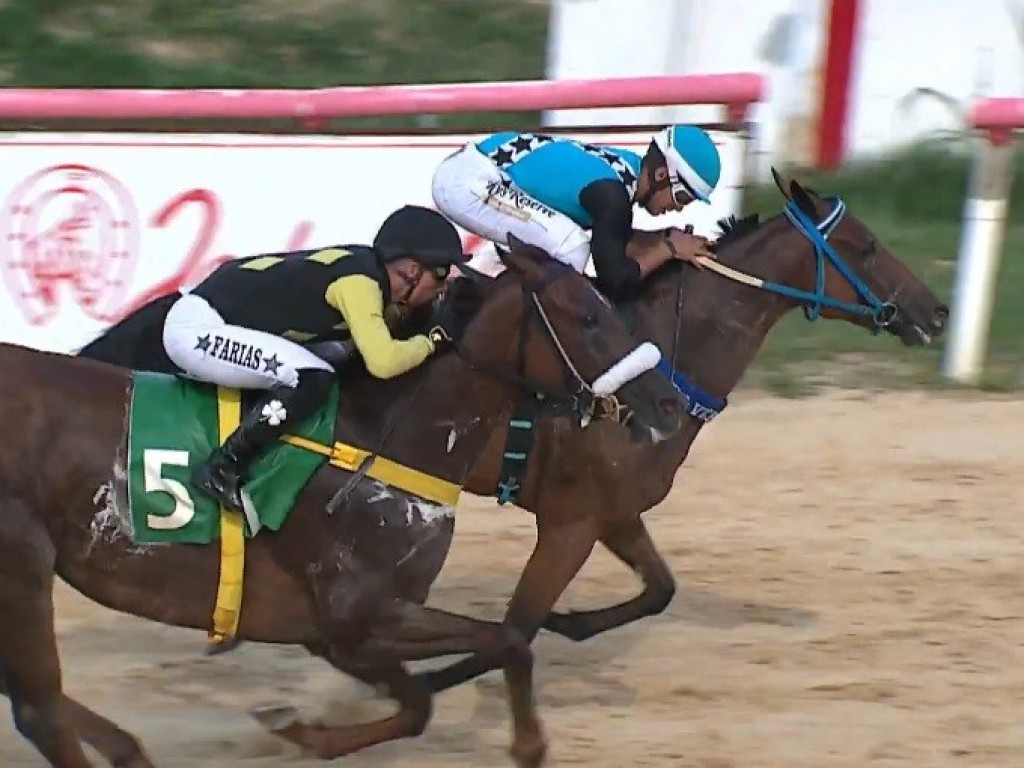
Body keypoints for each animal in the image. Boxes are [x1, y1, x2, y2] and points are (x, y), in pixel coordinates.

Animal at [2, 237, 688, 765]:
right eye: (590, 318)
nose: (669, 404)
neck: (389, 439)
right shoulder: (357, 615)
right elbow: (508, 642)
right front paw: (528, 746)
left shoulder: (333, 632)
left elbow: (423, 701)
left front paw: (300, 731)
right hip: (22, 563)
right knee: (38, 709)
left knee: (32, 699)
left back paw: (128, 749)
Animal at [409, 173, 950, 696]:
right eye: (868, 247)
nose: (938, 312)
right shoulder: (570, 522)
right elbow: (514, 632)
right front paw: (420, 686)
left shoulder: (614, 514)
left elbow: (660, 590)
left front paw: (569, 622)